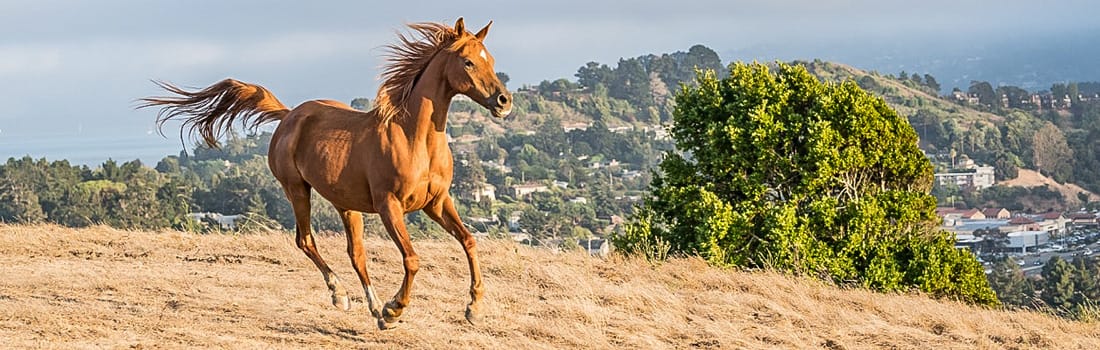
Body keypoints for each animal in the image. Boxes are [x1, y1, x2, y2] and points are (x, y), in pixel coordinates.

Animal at [137, 17, 510, 330]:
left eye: (491, 59)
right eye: (468, 61)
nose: (503, 101)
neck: (412, 138)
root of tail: (289, 115)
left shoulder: (437, 203)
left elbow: (469, 240)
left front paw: (474, 308)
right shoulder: (390, 207)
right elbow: (413, 259)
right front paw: (396, 308)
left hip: (347, 205)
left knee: (356, 255)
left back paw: (373, 310)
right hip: (297, 189)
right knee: (306, 240)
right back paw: (343, 296)